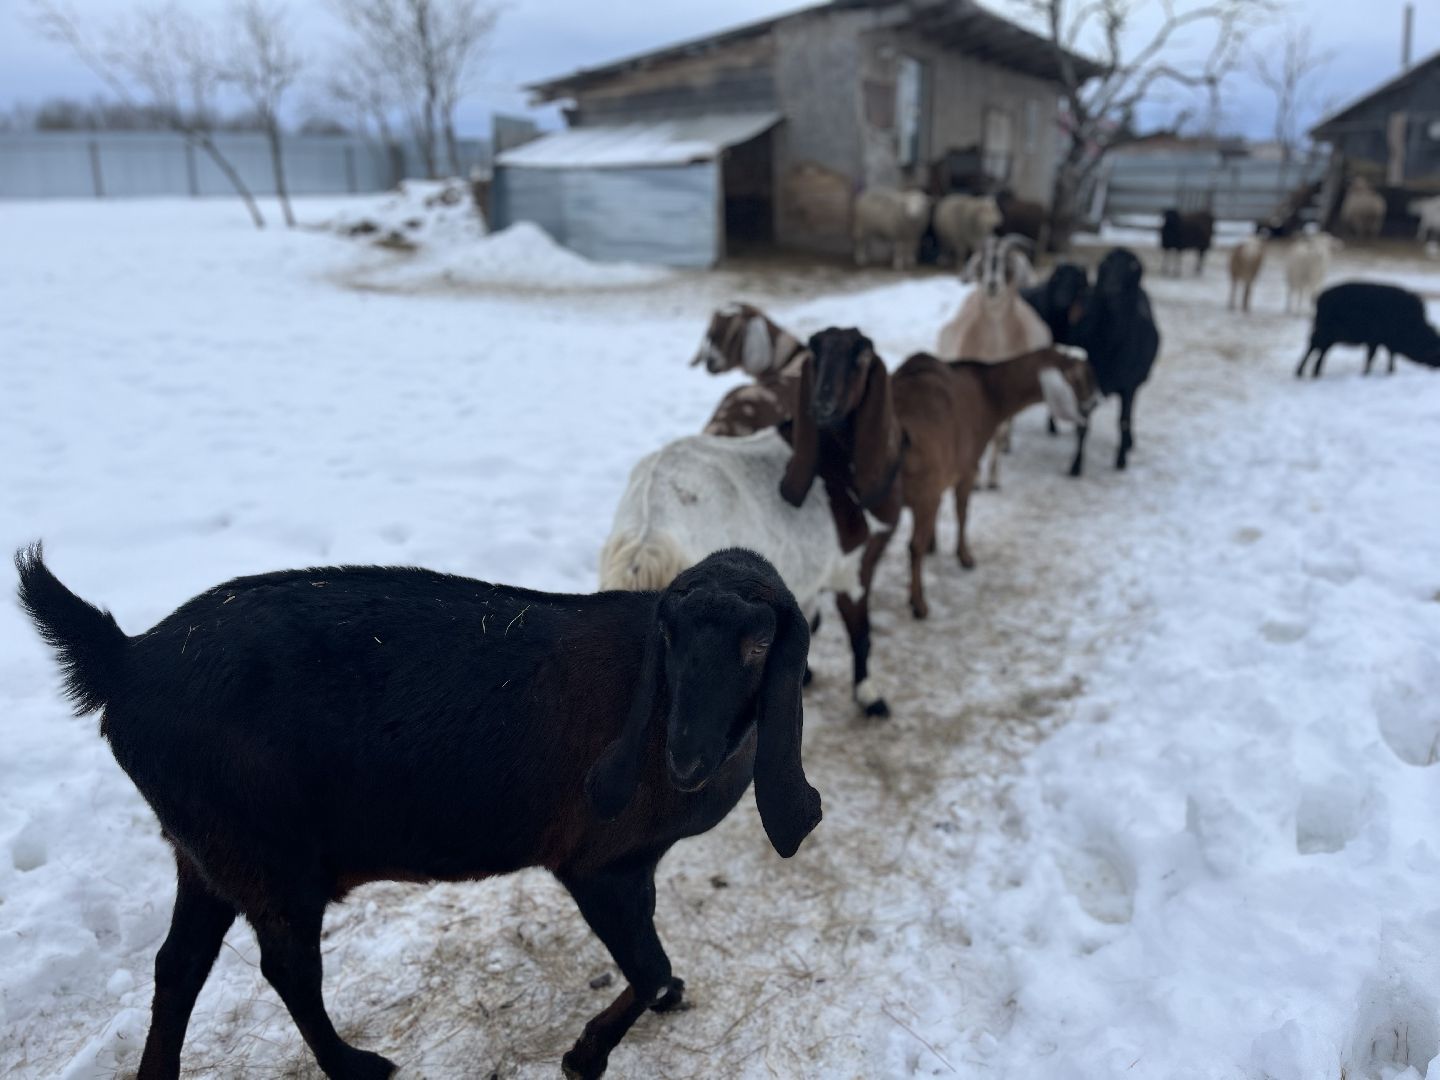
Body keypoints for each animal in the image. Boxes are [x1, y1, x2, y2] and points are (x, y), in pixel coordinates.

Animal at [16, 544, 821, 1080]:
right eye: (669, 637)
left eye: (758, 644)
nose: (686, 760)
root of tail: (124, 659)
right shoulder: (599, 864)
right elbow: (648, 964)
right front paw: (585, 1054)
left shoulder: (636, 865)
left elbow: (652, 962)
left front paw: (662, 1004)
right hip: (267, 854)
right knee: (287, 968)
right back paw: (356, 1066)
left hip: (206, 848)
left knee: (178, 965)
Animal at [936, 235, 1051, 489]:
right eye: (982, 263)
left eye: (1007, 264)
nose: (991, 284)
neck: (993, 346)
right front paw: (976, 480)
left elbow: (996, 434)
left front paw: (993, 478)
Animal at [1070, 248, 1161, 474]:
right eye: (1106, 264)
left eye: (1131, 267)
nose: (1110, 289)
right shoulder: (1087, 381)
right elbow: (1083, 425)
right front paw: (1076, 465)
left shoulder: (1129, 385)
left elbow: (1123, 421)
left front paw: (1120, 460)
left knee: (1129, 415)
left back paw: (1128, 443)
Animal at [1296, 282, 1440, 377]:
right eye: (1433, 347)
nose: (1437, 366)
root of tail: (1320, 298)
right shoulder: (1375, 341)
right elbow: (1372, 356)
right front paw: (1366, 373)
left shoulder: (1383, 342)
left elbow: (1389, 355)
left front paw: (1390, 371)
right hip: (1325, 334)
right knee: (1315, 347)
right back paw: (1304, 372)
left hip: (1327, 336)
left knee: (1318, 349)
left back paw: (1312, 372)